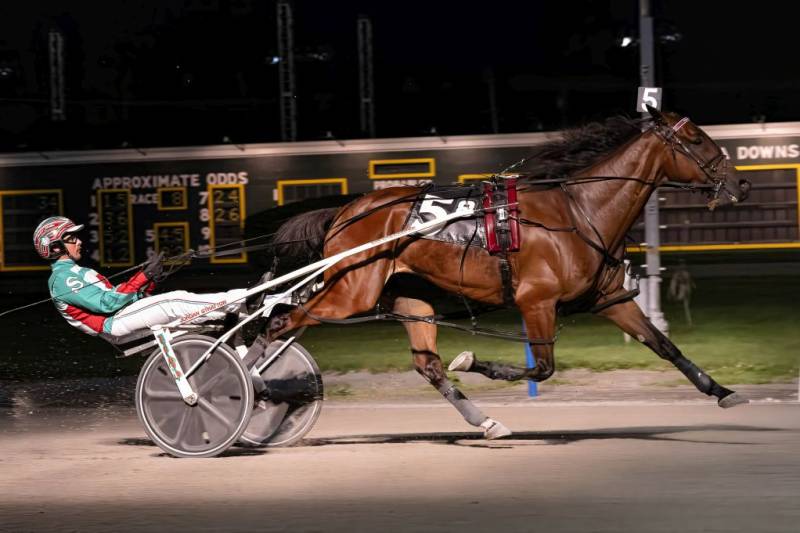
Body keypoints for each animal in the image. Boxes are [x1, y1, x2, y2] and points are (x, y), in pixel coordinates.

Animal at [266, 107, 752, 436]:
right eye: (696, 138)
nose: (741, 183)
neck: (580, 211)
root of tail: (344, 211)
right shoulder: (536, 301)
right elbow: (542, 369)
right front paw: (476, 361)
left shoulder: (609, 299)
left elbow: (665, 346)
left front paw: (723, 392)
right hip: (351, 292)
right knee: (278, 322)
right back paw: (262, 395)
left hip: (408, 295)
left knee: (427, 364)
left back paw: (484, 421)